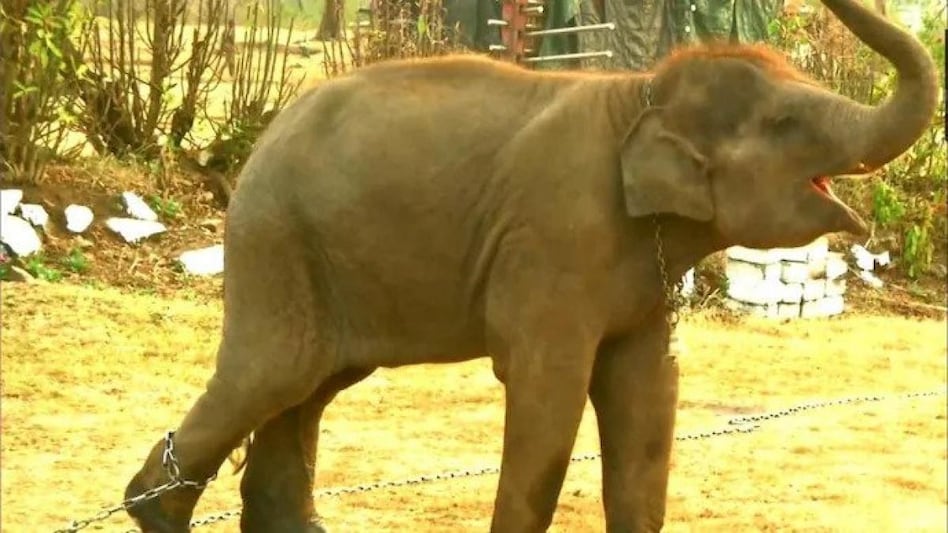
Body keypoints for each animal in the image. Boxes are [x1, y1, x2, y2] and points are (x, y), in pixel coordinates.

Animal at [123, 0, 938, 530]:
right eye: (787, 124)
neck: (640, 92)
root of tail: (260, 141)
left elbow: (648, 400)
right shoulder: (555, 238)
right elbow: (549, 393)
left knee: (310, 388)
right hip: (278, 241)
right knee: (272, 374)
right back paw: (152, 511)